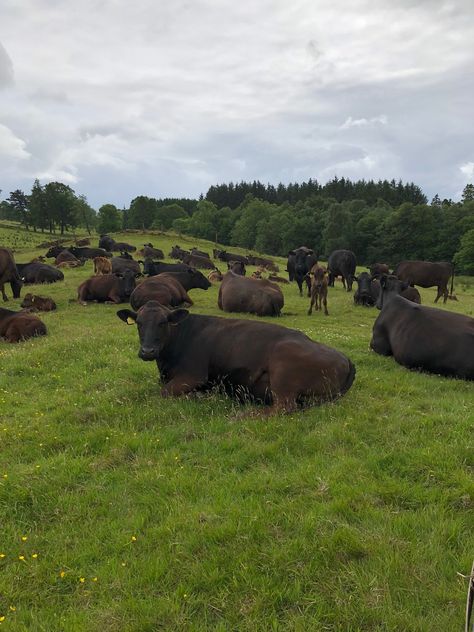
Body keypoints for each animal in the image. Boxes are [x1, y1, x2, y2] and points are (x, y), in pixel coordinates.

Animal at [115, 302, 356, 414]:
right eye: (138, 323)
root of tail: (345, 357)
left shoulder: (194, 375)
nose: (147, 351)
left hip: (283, 367)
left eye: (163, 322)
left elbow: (163, 393)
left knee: (284, 407)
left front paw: (196, 397)